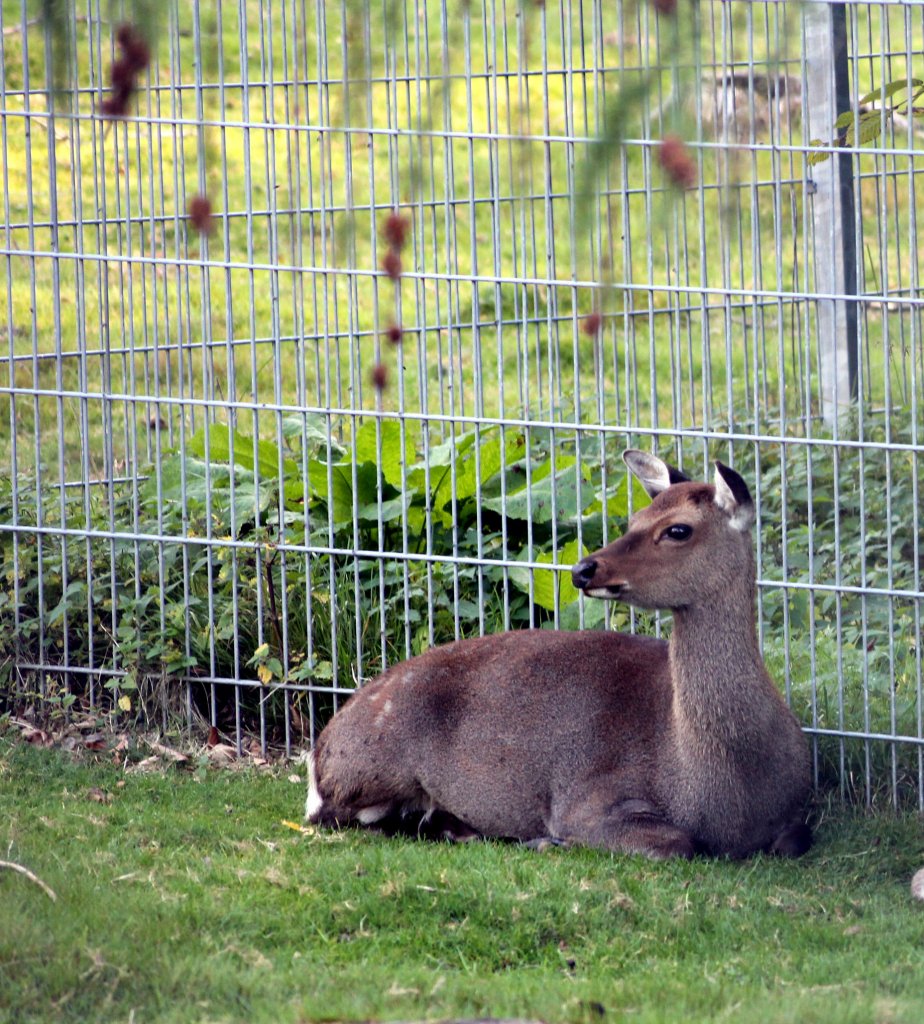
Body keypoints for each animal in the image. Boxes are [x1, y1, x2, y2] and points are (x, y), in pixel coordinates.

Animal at [307, 448, 815, 856]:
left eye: (677, 529)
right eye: (634, 519)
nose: (583, 569)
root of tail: (319, 750)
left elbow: (794, 841)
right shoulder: (586, 801)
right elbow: (676, 842)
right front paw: (551, 839)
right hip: (374, 768)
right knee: (342, 816)